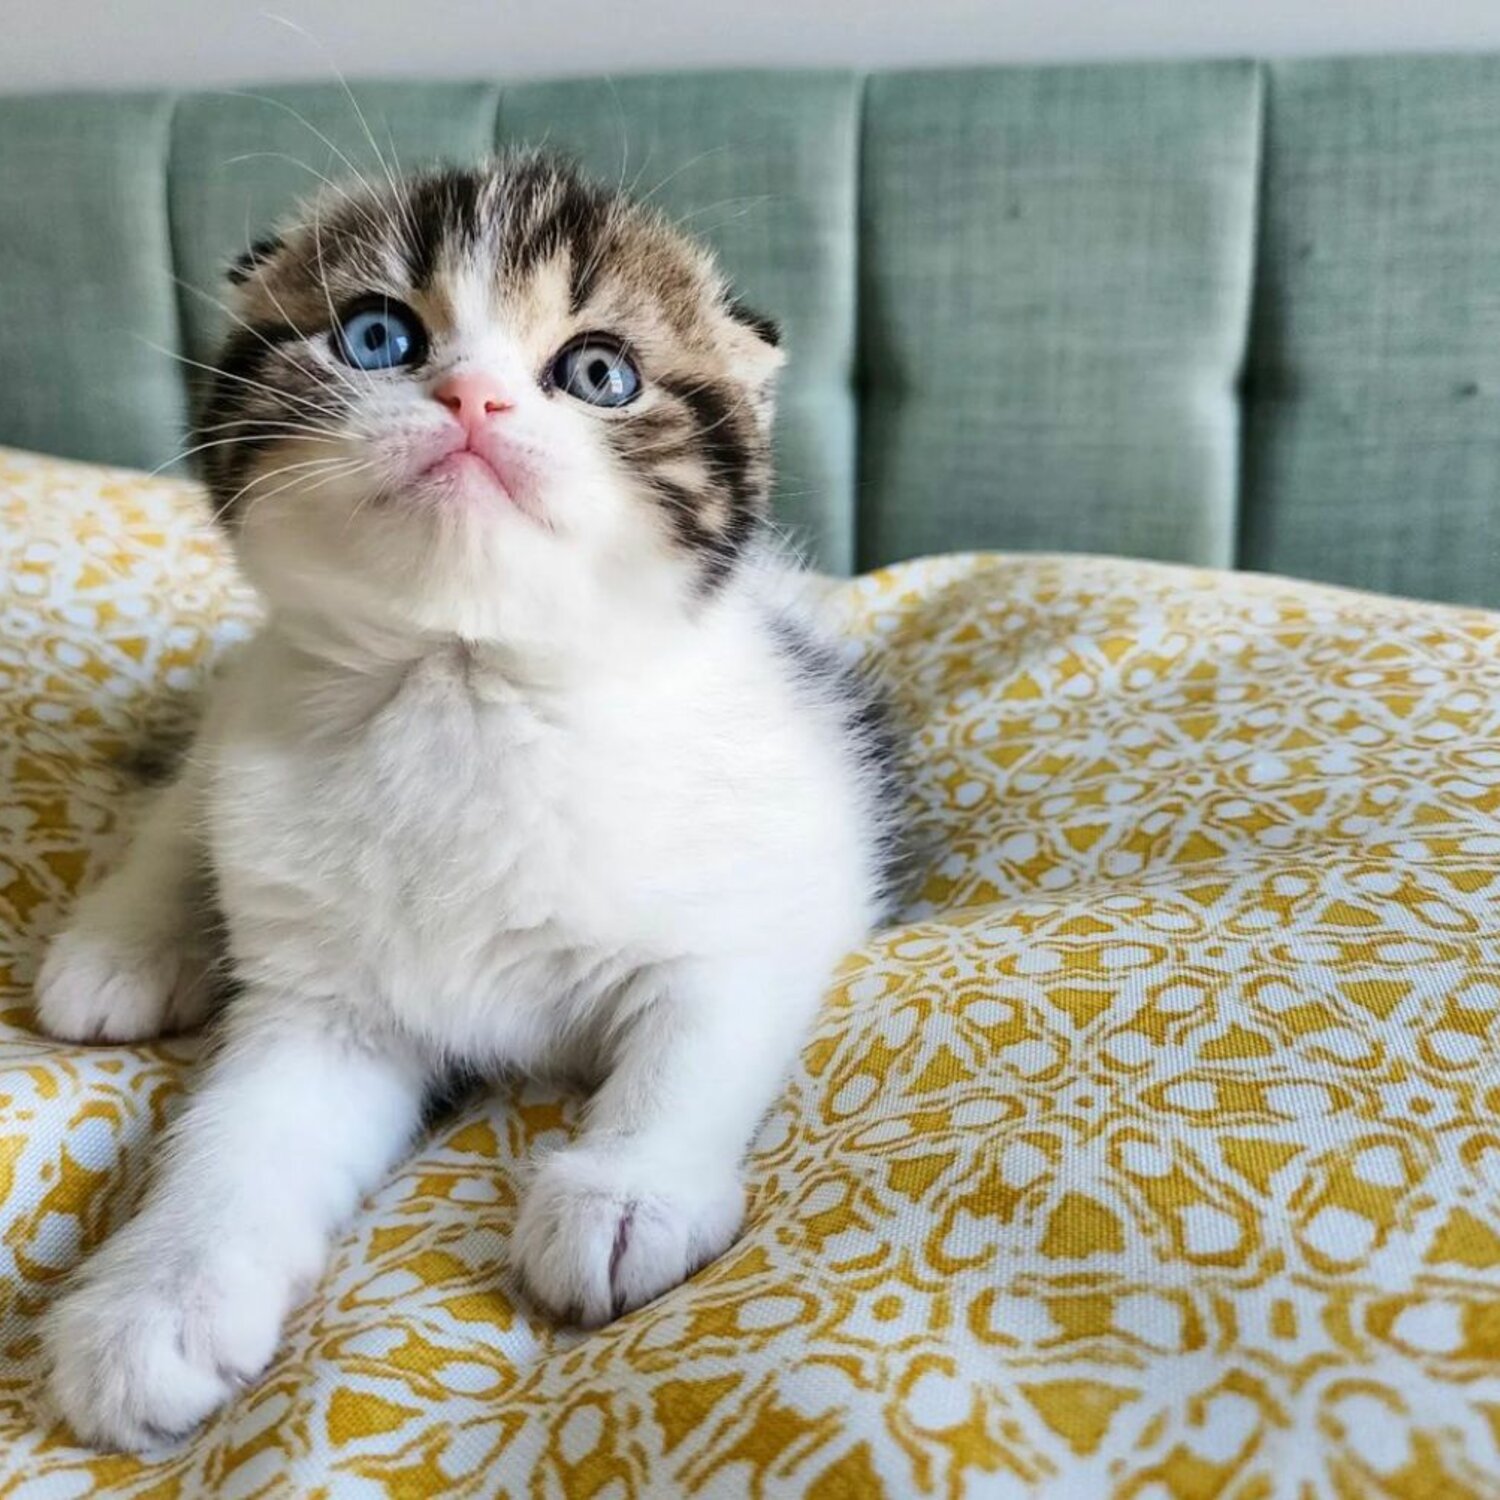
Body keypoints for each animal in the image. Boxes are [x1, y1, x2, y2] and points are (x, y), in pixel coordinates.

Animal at [32, 155, 900, 1452]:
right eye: (377, 335)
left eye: (599, 372)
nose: (474, 400)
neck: (463, 686)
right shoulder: (325, 1002)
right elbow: (239, 1134)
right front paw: (157, 1300)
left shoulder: (779, 868)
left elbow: (702, 1029)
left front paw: (626, 1192)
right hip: (246, 720)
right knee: (190, 795)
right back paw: (124, 947)